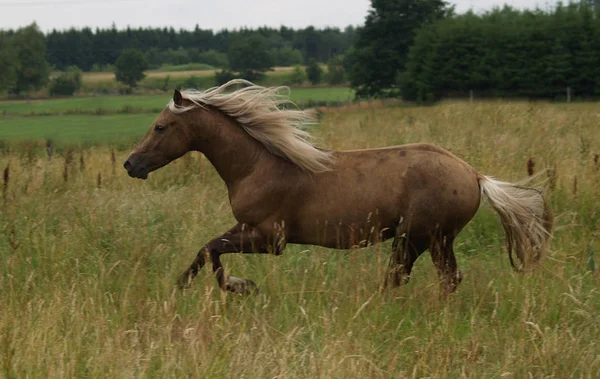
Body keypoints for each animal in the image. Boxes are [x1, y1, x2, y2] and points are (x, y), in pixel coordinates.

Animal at [123, 78, 552, 296]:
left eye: (160, 127)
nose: (131, 164)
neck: (257, 166)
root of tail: (475, 176)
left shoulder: (270, 238)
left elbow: (213, 249)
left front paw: (241, 286)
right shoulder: (246, 227)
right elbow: (205, 249)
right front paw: (185, 284)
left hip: (416, 237)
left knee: (407, 277)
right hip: (432, 240)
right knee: (444, 278)